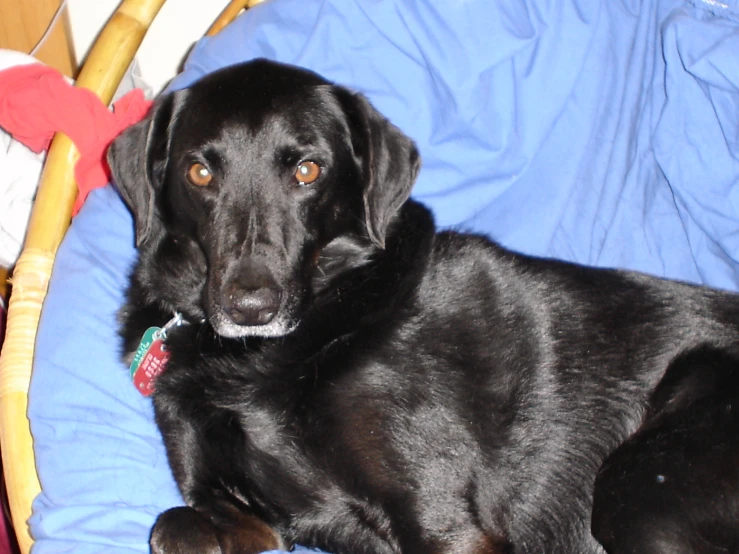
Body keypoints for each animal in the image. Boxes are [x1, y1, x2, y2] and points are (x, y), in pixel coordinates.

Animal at [107, 58, 739, 548]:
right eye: (200, 172)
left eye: (308, 170)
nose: (250, 307)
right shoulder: (233, 509)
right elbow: (173, 524)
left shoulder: (443, 525)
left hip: (641, 485)